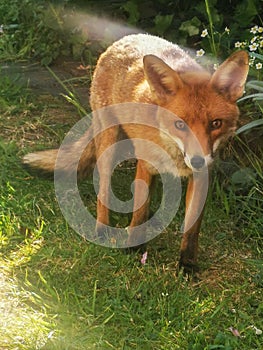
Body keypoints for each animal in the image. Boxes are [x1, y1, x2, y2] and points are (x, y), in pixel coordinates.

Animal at [22, 34, 250, 270]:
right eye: (180, 125)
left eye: (216, 123)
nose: (197, 161)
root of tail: (126, 38)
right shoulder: (146, 164)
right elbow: (139, 211)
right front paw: (134, 248)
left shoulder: (201, 177)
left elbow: (192, 228)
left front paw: (187, 264)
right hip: (109, 145)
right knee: (102, 191)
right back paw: (101, 231)